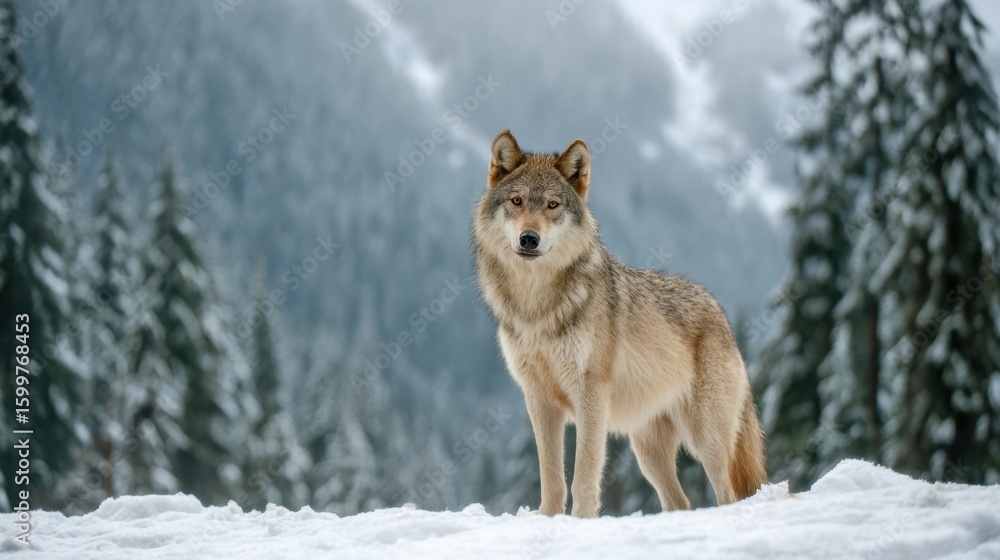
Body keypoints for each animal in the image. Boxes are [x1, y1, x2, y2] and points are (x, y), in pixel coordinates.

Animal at [472, 130, 766, 517]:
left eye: (552, 205)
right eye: (517, 201)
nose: (529, 239)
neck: (537, 305)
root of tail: (721, 313)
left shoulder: (591, 396)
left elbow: (583, 476)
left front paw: (581, 521)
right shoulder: (538, 400)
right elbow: (551, 479)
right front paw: (548, 519)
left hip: (707, 440)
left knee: (728, 494)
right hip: (648, 452)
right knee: (680, 501)